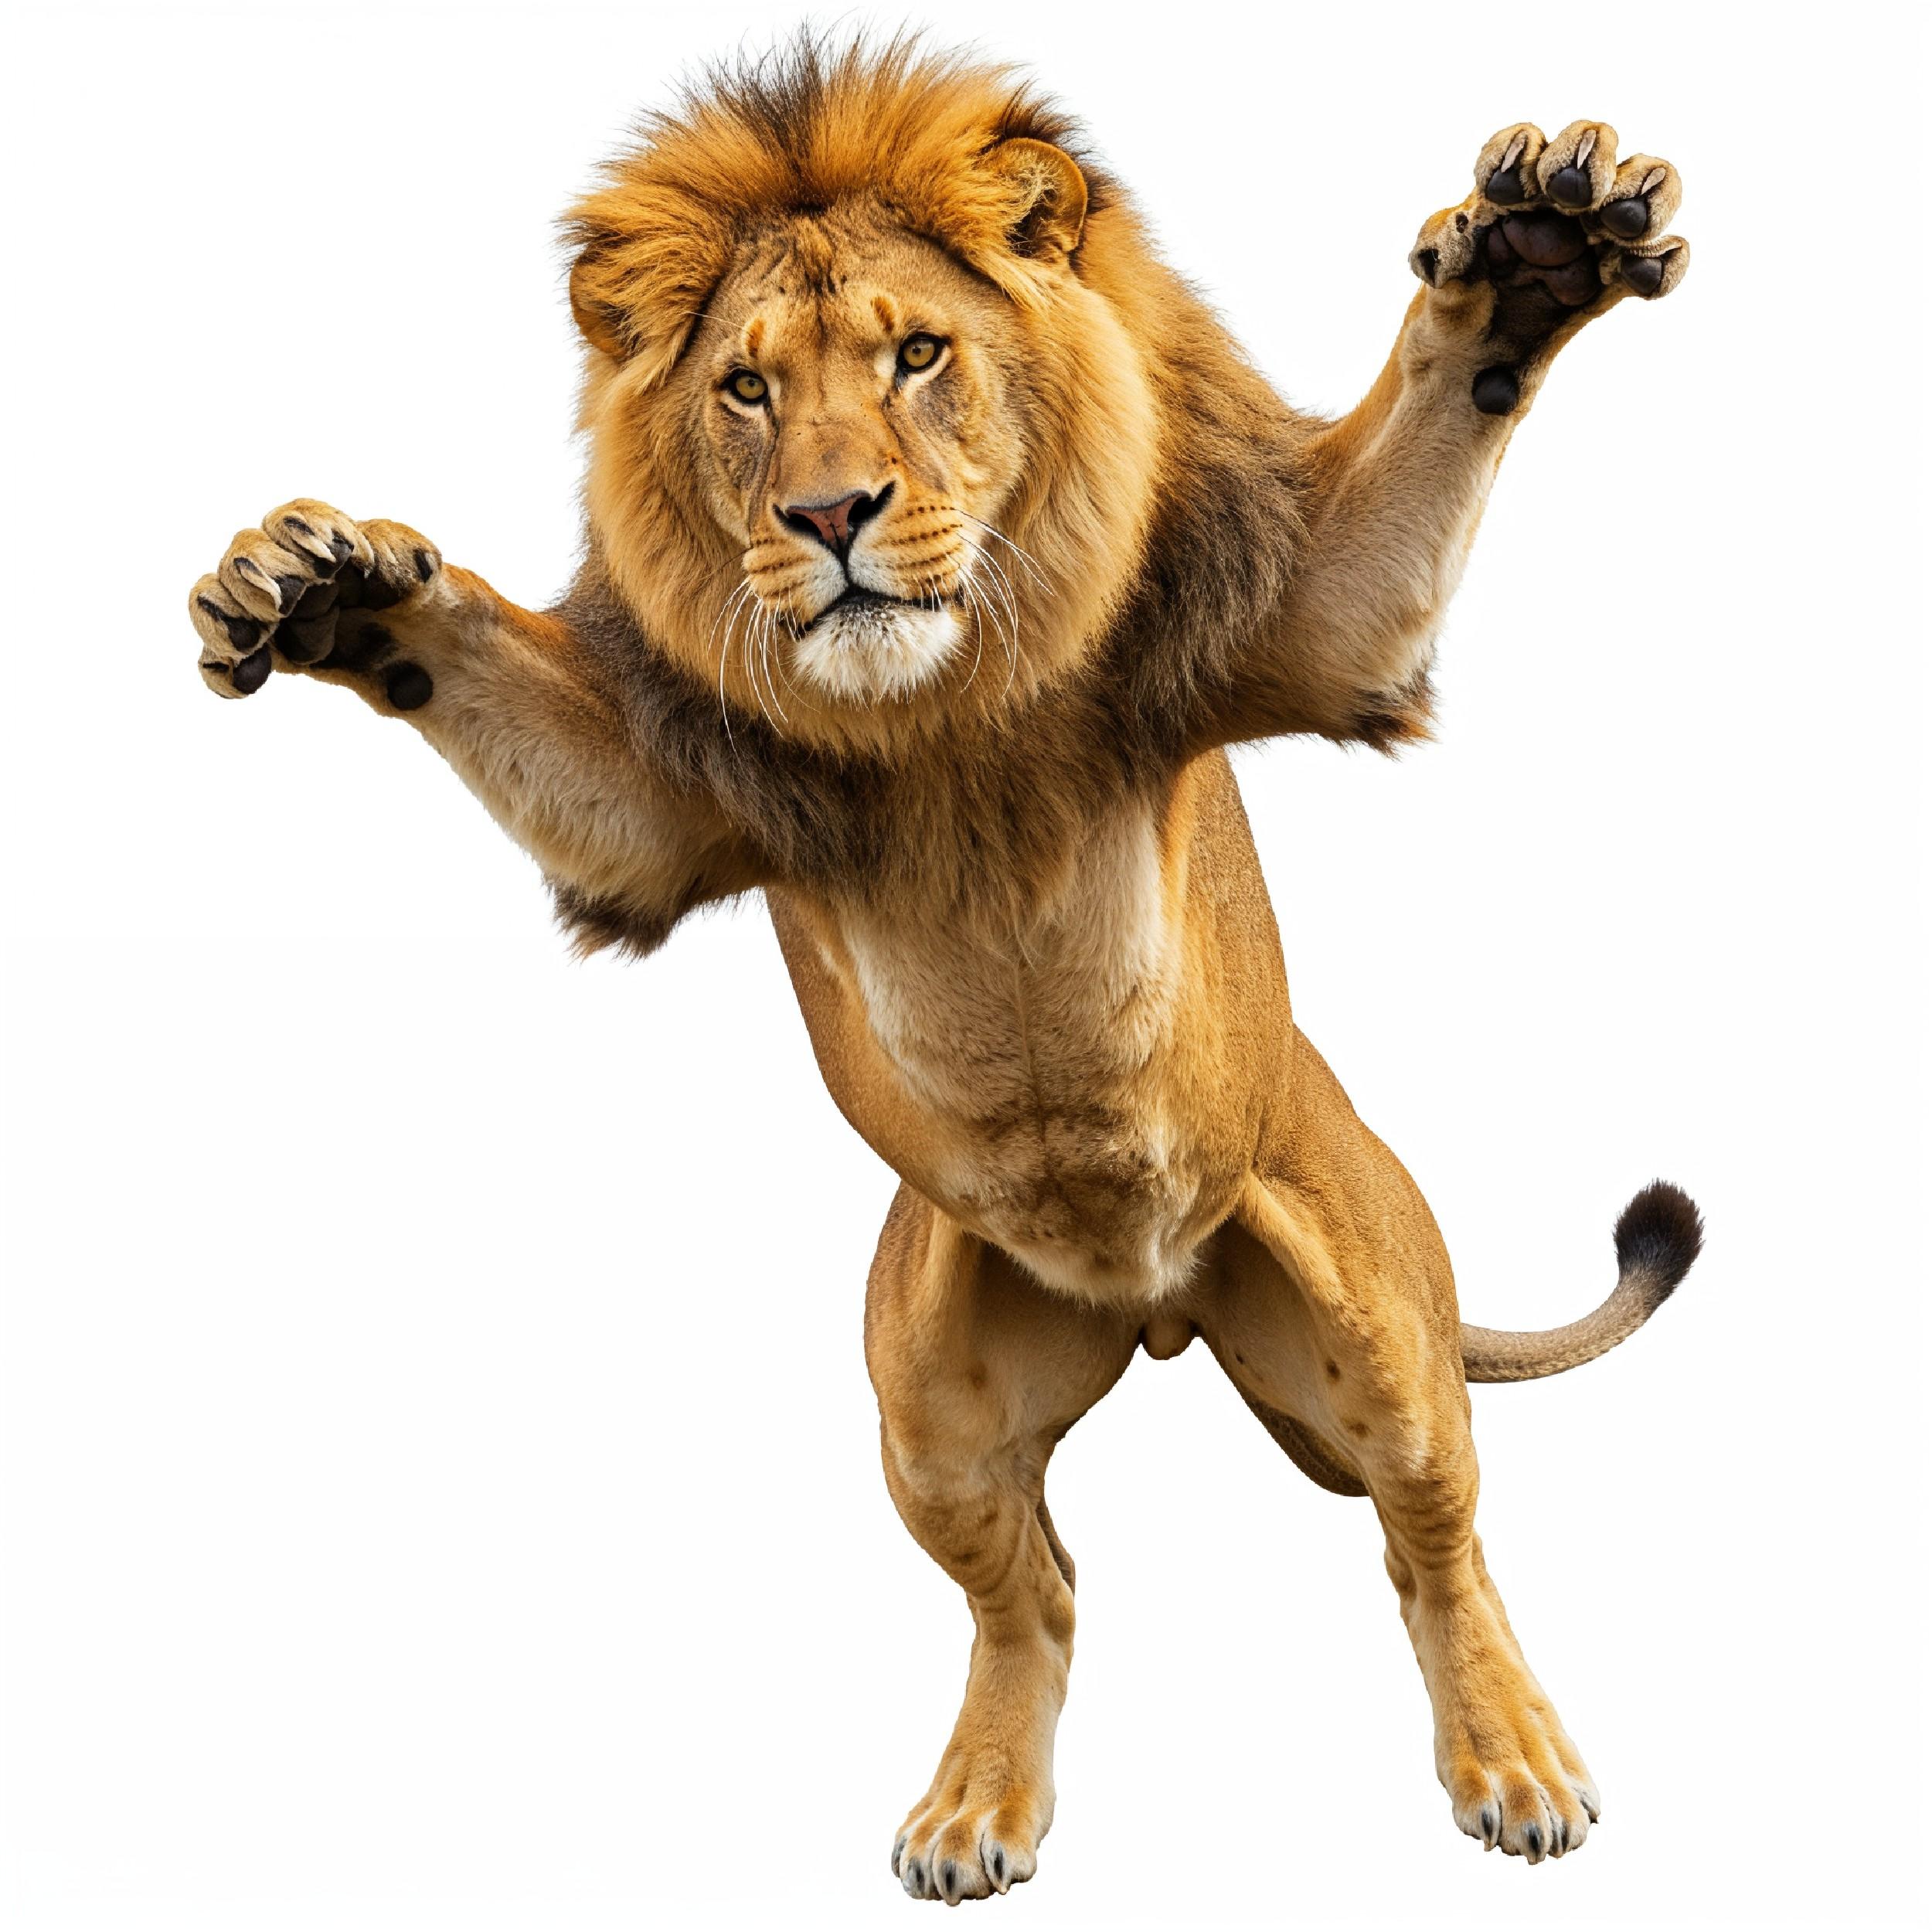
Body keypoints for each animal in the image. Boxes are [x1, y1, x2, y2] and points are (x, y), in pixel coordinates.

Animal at [187, 36, 1701, 1904]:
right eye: (746, 392)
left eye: (918, 355)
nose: (831, 514)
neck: (941, 719)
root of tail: (1157, 1303)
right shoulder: (661, 807)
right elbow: (491, 687)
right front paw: (321, 587)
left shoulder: (1295, 616)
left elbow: (1433, 409)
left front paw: (1541, 245)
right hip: (920, 1400)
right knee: (1031, 1591)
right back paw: (978, 1805)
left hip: (1376, 1322)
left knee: (1435, 1542)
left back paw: (1513, 1761)